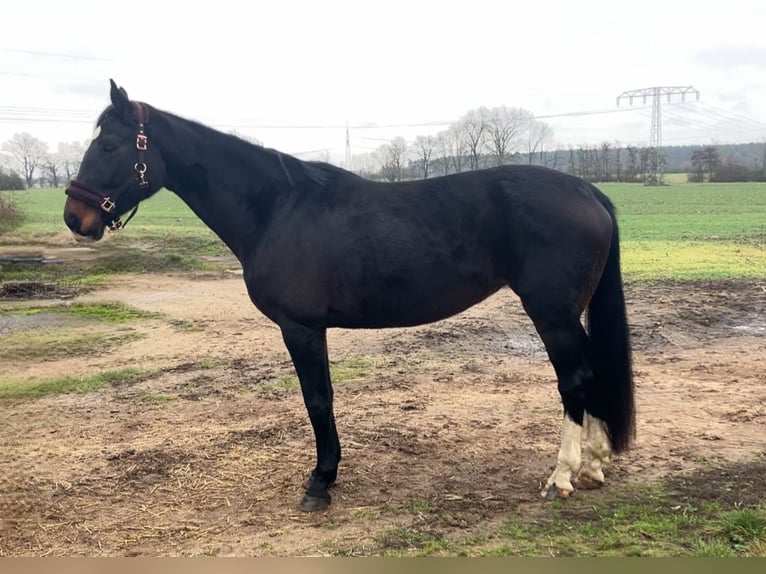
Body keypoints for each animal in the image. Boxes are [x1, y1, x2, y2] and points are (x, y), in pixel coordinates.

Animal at [63, 80, 634, 512]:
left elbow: (318, 400)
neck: (277, 207)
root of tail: (588, 191)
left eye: (109, 146)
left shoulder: (301, 327)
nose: (75, 216)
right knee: (592, 374)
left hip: (551, 312)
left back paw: (562, 476)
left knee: (574, 380)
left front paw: (320, 482)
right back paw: (595, 465)